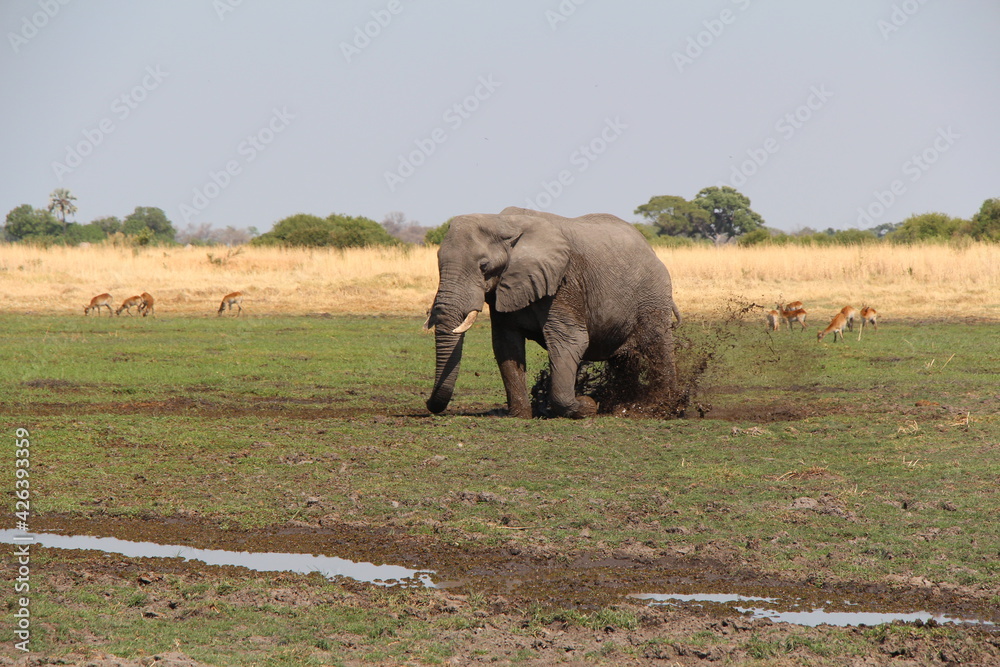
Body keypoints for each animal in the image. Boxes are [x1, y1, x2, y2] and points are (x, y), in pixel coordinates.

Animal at [424, 206, 681, 419]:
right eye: (437, 261)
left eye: (484, 266)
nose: (428, 404)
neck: (504, 223)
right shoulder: (504, 290)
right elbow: (506, 344)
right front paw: (520, 415)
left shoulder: (563, 283)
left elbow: (570, 340)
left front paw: (586, 406)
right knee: (625, 360)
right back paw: (622, 406)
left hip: (653, 296)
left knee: (657, 347)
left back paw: (661, 408)